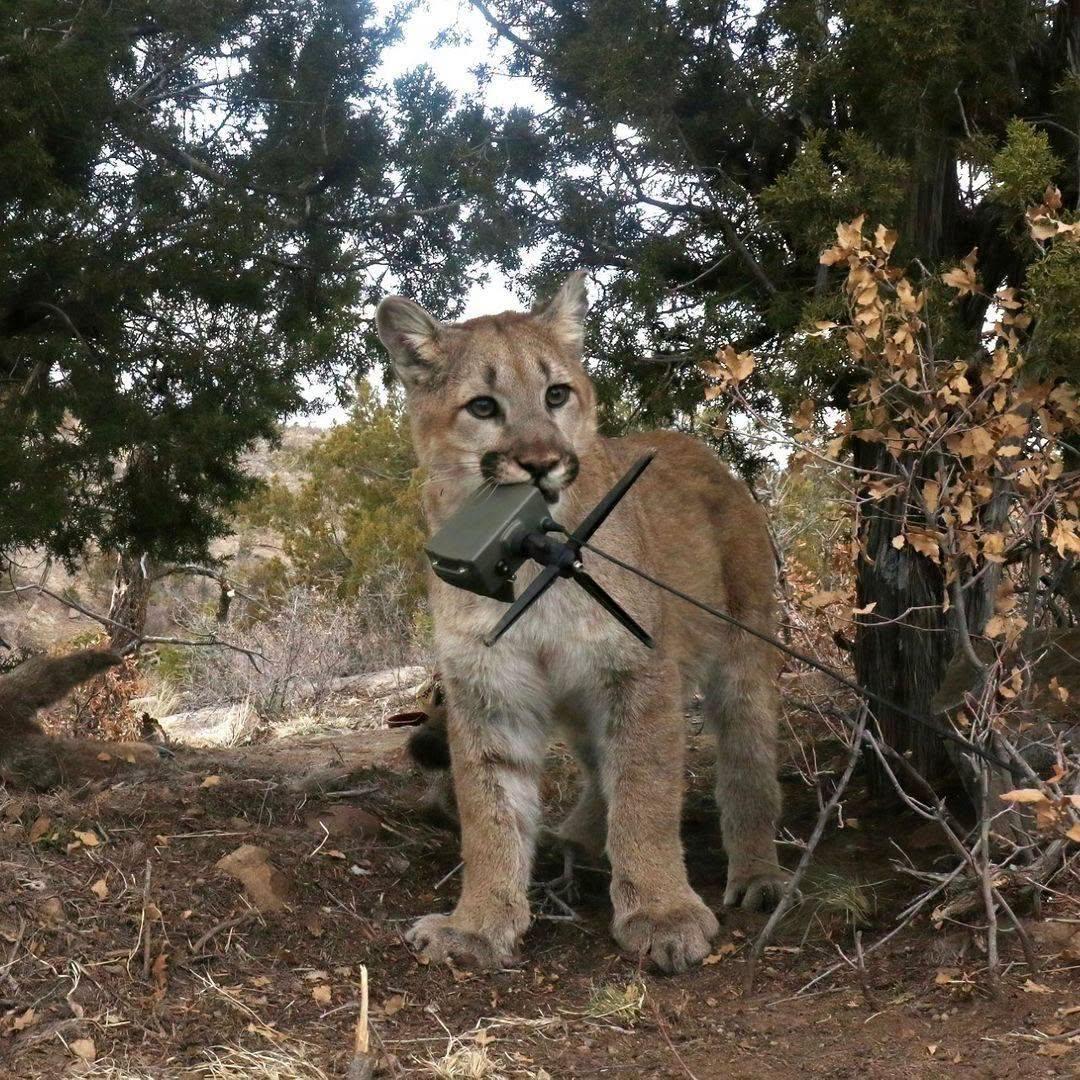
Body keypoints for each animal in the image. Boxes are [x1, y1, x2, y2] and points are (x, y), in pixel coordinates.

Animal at [376, 272, 783, 973]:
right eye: (482, 407)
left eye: (556, 394)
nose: (541, 462)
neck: (526, 566)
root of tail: (692, 441)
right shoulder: (490, 687)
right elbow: (489, 811)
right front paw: (479, 925)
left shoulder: (637, 669)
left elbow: (645, 791)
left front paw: (662, 912)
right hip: (578, 695)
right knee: (598, 767)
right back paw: (576, 842)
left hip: (741, 657)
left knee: (747, 758)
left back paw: (759, 875)